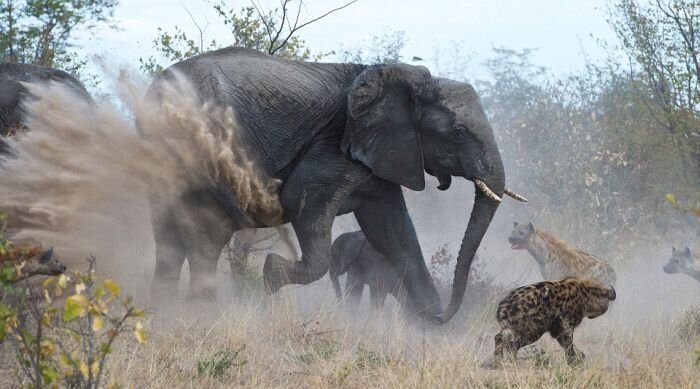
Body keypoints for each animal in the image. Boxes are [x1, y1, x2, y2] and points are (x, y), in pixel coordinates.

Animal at [144, 46, 524, 322]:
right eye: (458, 133)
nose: (445, 314)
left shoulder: (379, 153)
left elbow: (394, 230)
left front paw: (429, 329)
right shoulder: (333, 147)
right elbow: (303, 203)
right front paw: (271, 277)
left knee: (169, 238)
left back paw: (163, 314)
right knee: (205, 235)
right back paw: (200, 316)